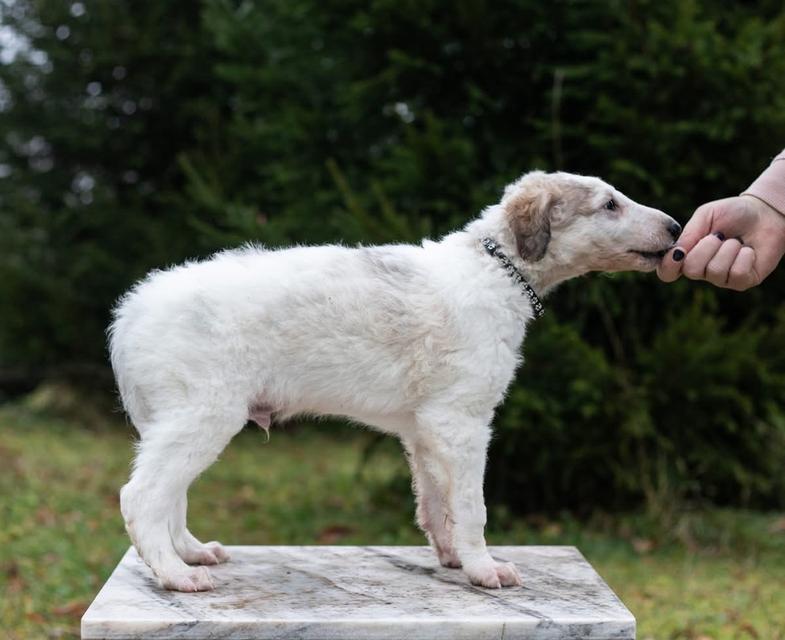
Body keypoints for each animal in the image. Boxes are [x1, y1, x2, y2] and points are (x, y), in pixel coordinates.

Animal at [110, 170, 680, 592]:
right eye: (609, 205)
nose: (676, 228)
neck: (495, 269)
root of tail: (133, 308)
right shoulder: (462, 422)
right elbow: (471, 506)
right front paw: (484, 569)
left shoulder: (424, 427)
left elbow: (435, 503)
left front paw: (453, 559)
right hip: (204, 413)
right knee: (142, 496)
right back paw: (175, 575)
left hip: (179, 419)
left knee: (171, 496)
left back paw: (191, 553)